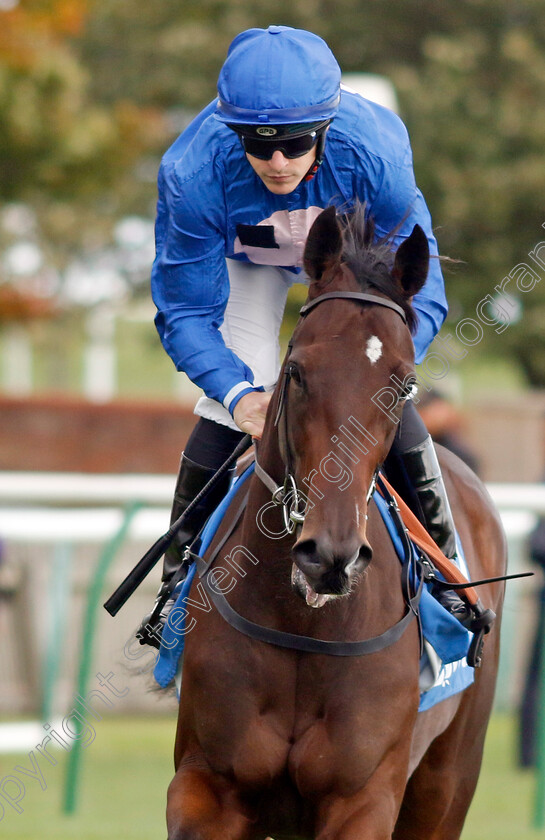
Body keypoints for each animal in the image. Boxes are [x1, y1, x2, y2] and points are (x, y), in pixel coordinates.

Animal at [166, 205, 506, 840]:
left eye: (404, 384)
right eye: (297, 371)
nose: (330, 554)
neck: (305, 624)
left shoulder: (364, 798)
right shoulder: (207, 786)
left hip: (449, 778)